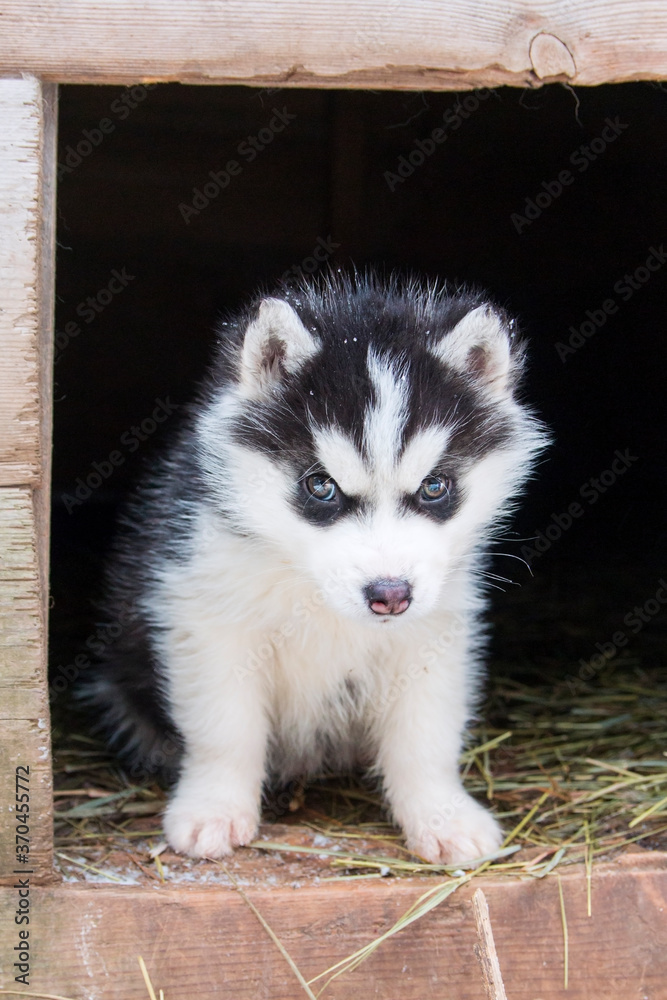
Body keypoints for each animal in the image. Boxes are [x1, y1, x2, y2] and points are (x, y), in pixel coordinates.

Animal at [88, 272, 548, 860]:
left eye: (434, 486)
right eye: (321, 486)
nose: (390, 594)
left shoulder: (433, 632)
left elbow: (425, 734)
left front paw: (443, 815)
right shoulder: (206, 614)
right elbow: (226, 730)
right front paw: (214, 808)